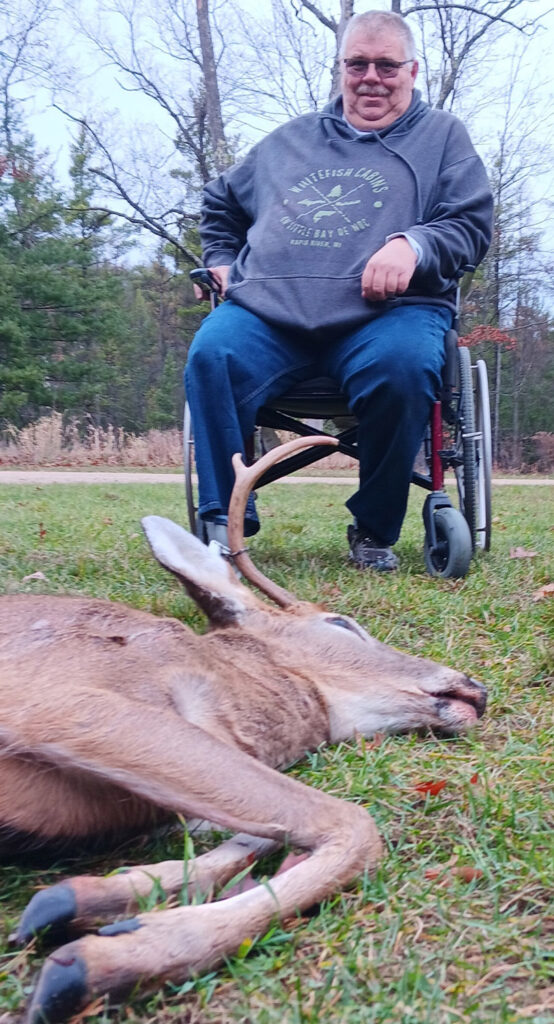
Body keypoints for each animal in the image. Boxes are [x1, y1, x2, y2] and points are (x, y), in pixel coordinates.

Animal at [0, 438, 483, 1024]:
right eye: (342, 623)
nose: (474, 687)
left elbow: (265, 828)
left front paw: (90, 899)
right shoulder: (61, 700)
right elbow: (353, 823)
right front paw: (106, 963)